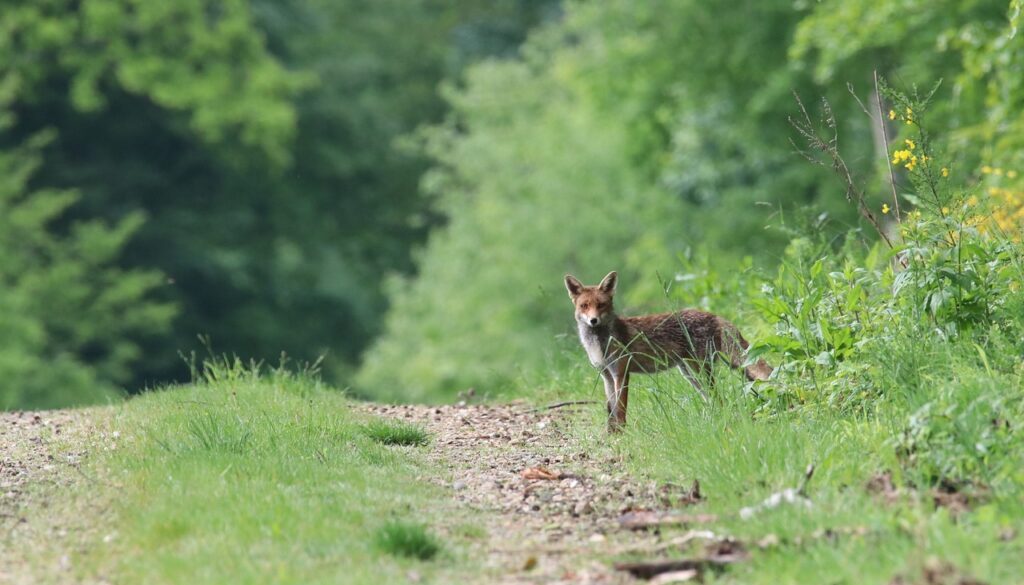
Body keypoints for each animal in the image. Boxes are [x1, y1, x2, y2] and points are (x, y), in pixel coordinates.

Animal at [565, 272, 770, 432]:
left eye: (601, 305)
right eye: (584, 306)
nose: (593, 320)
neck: (599, 344)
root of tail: (714, 315)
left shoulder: (621, 373)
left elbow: (621, 410)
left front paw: (623, 435)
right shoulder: (606, 375)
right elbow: (611, 410)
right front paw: (611, 434)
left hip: (699, 371)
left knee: (719, 398)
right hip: (690, 374)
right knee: (714, 399)